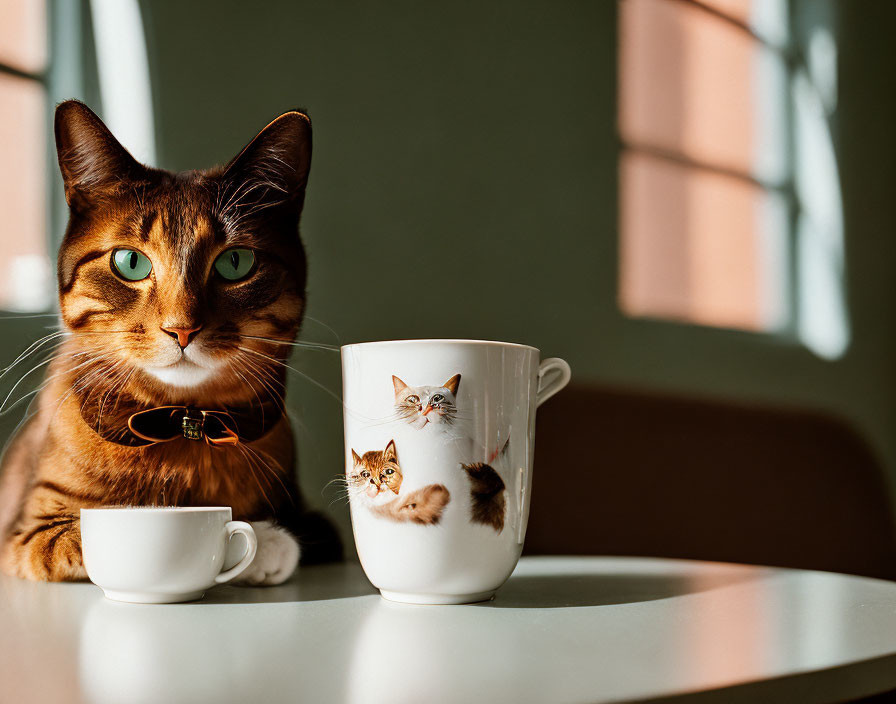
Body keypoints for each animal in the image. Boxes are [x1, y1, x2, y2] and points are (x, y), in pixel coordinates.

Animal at [0, 100, 340, 584]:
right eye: (130, 262)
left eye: (236, 262)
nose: (182, 329)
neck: (183, 425)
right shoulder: (27, 531)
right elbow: (93, 532)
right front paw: (262, 541)